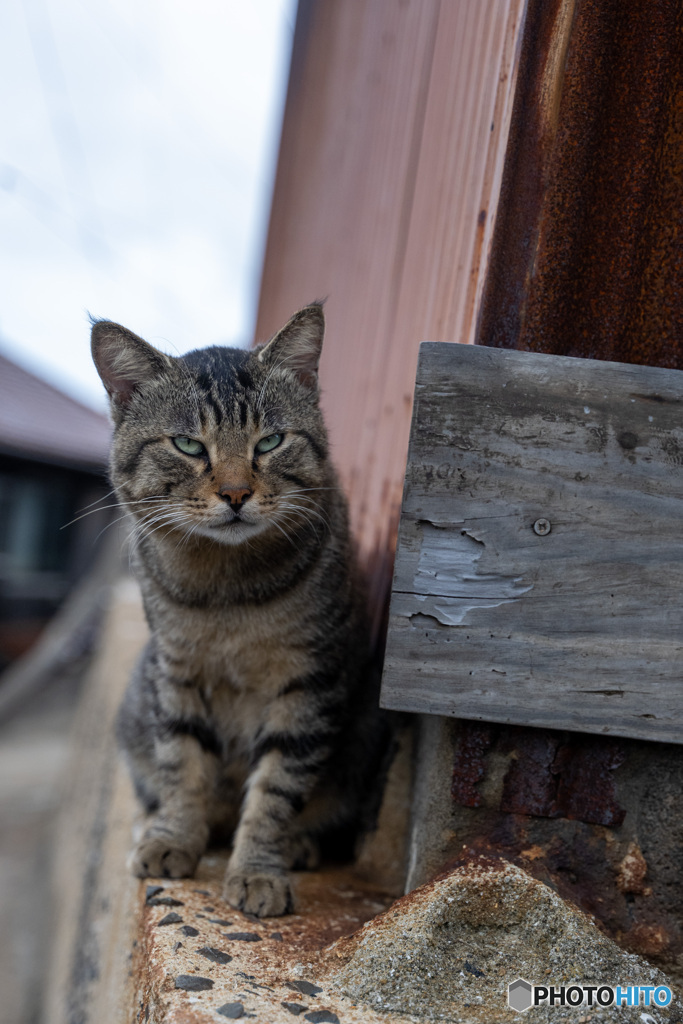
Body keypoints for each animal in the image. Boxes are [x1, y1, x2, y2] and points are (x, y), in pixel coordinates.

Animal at [92, 301, 385, 913]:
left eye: (269, 442)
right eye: (187, 445)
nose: (234, 493)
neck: (228, 591)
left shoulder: (307, 682)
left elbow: (276, 788)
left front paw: (258, 871)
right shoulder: (176, 672)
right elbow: (182, 765)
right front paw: (173, 839)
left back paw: (296, 845)